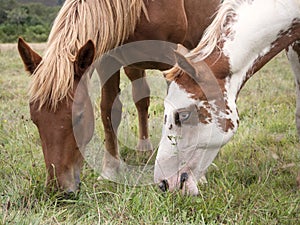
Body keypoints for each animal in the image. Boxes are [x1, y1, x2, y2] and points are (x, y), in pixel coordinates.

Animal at [18, 0, 219, 193]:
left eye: (78, 117)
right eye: (35, 120)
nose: (58, 188)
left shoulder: (174, 60)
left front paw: (193, 173)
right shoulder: (108, 60)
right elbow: (109, 111)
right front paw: (110, 170)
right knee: (141, 99)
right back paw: (144, 149)